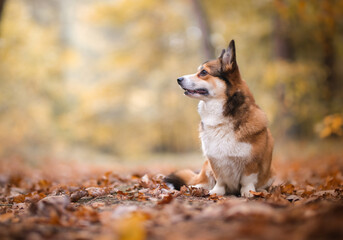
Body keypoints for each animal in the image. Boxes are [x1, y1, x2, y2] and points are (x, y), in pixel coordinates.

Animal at [165, 39, 276, 197]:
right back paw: (196, 188)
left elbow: (247, 180)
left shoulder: (252, 162)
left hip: (271, 173)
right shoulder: (214, 161)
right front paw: (216, 192)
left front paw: (248, 192)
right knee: (201, 181)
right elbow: (220, 180)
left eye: (203, 72)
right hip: (205, 167)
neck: (221, 119)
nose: (178, 79)